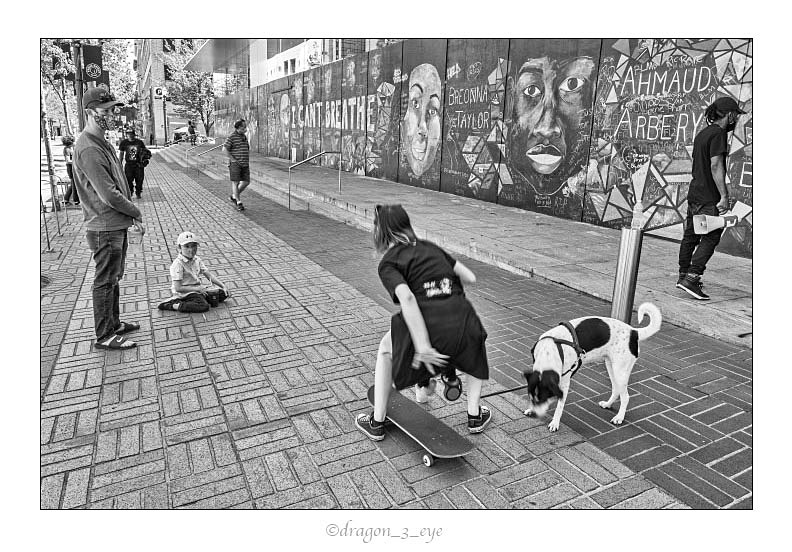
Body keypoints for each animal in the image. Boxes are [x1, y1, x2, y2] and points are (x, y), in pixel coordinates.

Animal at [524, 302, 664, 432]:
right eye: (531, 397)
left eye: (543, 398)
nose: (535, 414)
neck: (549, 351)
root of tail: (633, 332)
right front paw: (530, 409)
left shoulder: (565, 382)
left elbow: (560, 405)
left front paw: (555, 423)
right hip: (611, 366)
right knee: (616, 389)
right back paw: (608, 404)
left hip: (620, 371)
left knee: (625, 397)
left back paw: (619, 417)